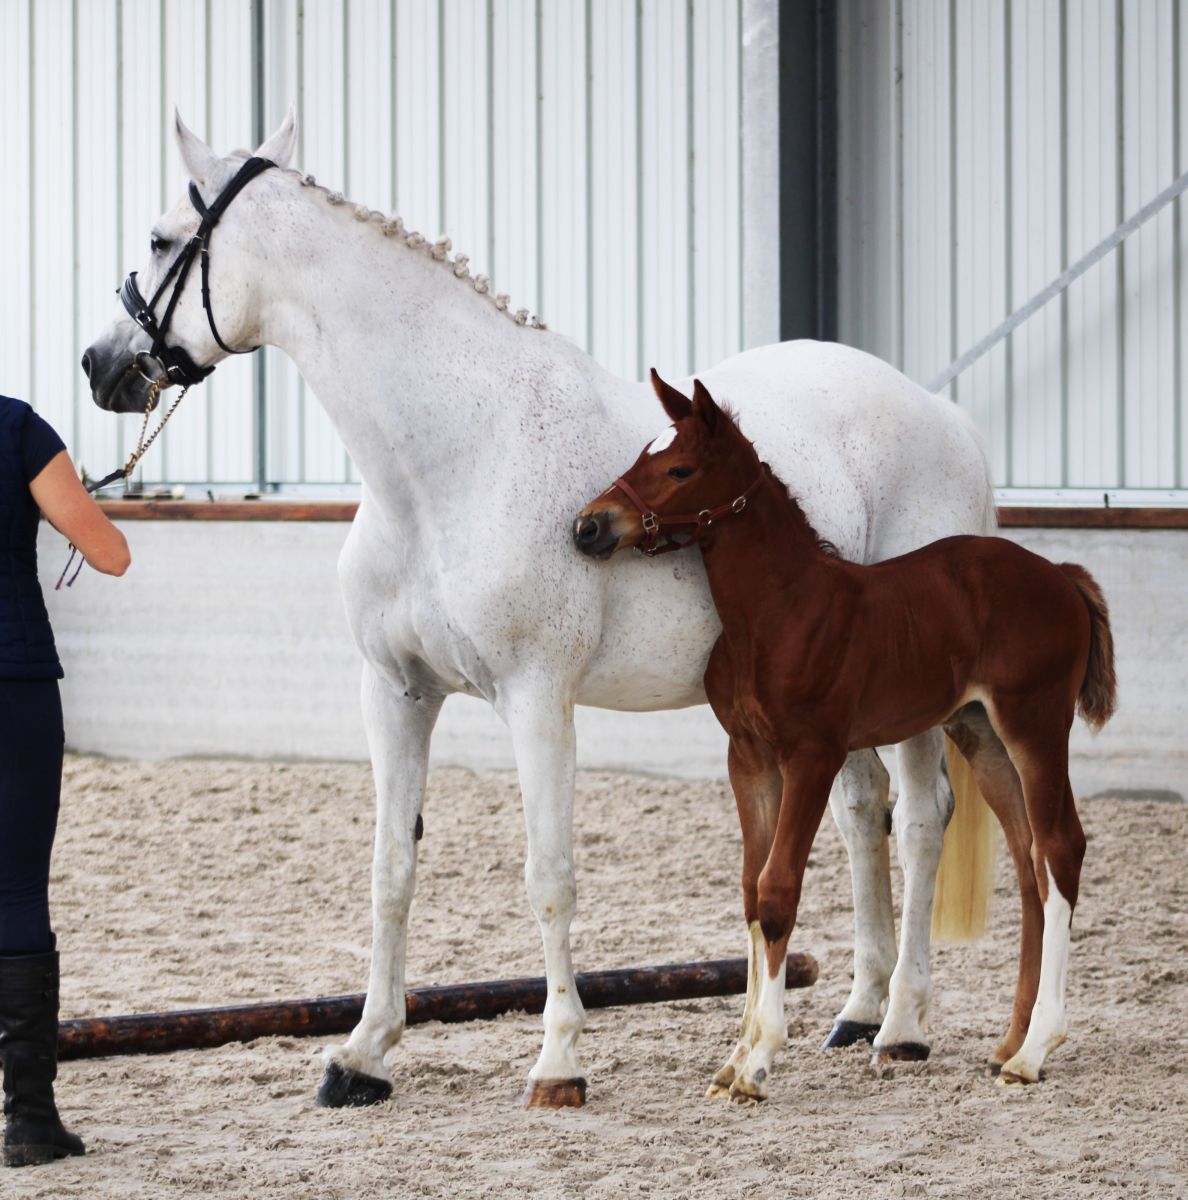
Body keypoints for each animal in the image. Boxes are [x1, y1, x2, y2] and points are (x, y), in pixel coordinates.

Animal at [79, 110, 998, 1104]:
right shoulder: (395, 694)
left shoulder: (536, 699)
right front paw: (361, 1055)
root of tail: (942, 414)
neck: (455, 457)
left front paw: (558, 1063)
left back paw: (902, 1028)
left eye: (161, 239)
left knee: (921, 820)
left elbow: (549, 874)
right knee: (864, 812)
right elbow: (391, 869)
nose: (99, 365)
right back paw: (856, 1012)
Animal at [576, 372, 1113, 1099]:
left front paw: (759, 1061)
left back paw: (1034, 1050)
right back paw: (1008, 1042)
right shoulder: (747, 757)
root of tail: (1061, 574)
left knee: (1061, 848)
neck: (779, 609)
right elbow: (751, 891)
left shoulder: (813, 754)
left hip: (1035, 723)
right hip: (982, 732)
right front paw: (734, 1058)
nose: (587, 525)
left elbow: (778, 891)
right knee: (1029, 857)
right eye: (640, 456)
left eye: (679, 469)